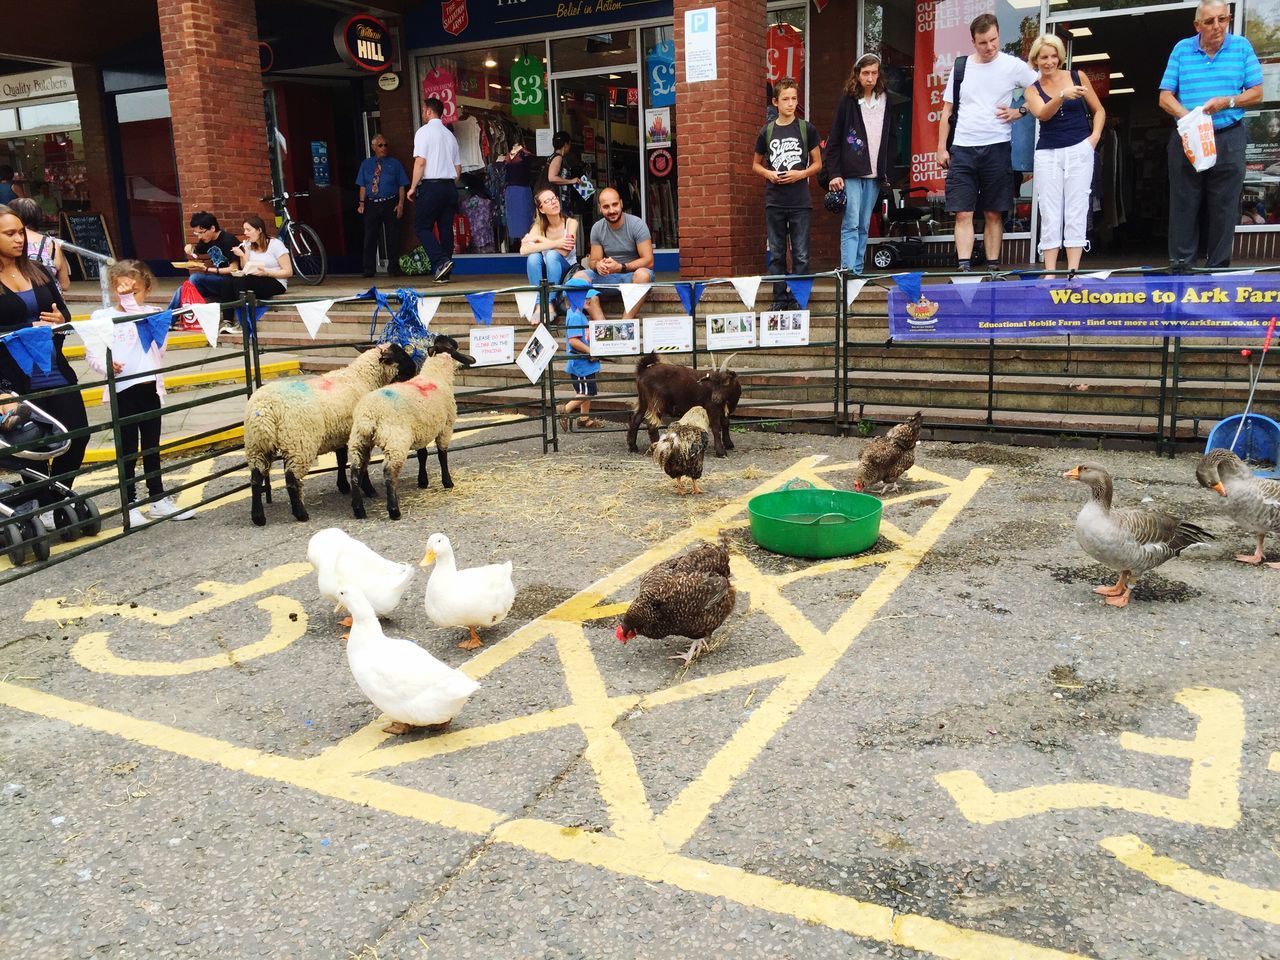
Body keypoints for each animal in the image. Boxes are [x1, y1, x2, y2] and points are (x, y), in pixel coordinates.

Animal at [244, 343, 414, 529]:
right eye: (401, 356)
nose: (414, 369)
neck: (363, 378)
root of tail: (264, 409)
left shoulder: (341, 433)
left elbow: (341, 459)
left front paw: (343, 486)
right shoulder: (356, 434)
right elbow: (361, 464)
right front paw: (368, 490)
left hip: (257, 445)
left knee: (255, 478)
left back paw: (258, 517)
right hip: (299, 443)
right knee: (291, 479)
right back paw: (301, 514)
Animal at [345, 335, 476, 522]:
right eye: (454, 347)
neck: (436, 376)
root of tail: (368, 416)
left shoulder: (422, 429)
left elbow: (422, 455)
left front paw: (423, 481)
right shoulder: (445, 427)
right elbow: (442, 455)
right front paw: (447, 482)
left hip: (359, 441)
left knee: (355, 472)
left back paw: (359, 510)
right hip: (396, 441)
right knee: (389, 472)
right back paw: (394, 510)